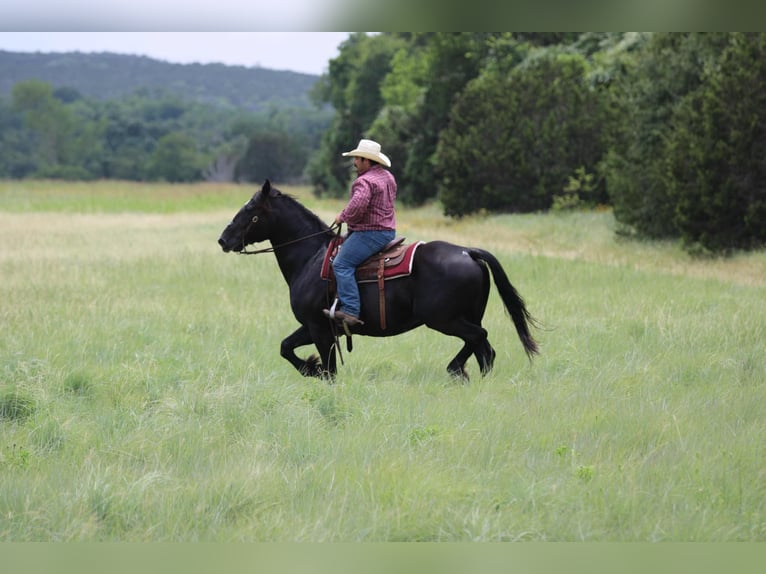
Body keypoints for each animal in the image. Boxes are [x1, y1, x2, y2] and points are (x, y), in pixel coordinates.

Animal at [217, 180, 539, 379]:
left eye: (251, 211)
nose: (223, 239)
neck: (310, 257)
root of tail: (468, 252)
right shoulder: (311, 326)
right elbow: (285, 347)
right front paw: (311, 367)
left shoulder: (319, 328)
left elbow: (329, 371)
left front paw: (315, 369)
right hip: (465, 317)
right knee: (485, 351)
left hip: (445, 319)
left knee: (479, 340)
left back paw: (455, 369)